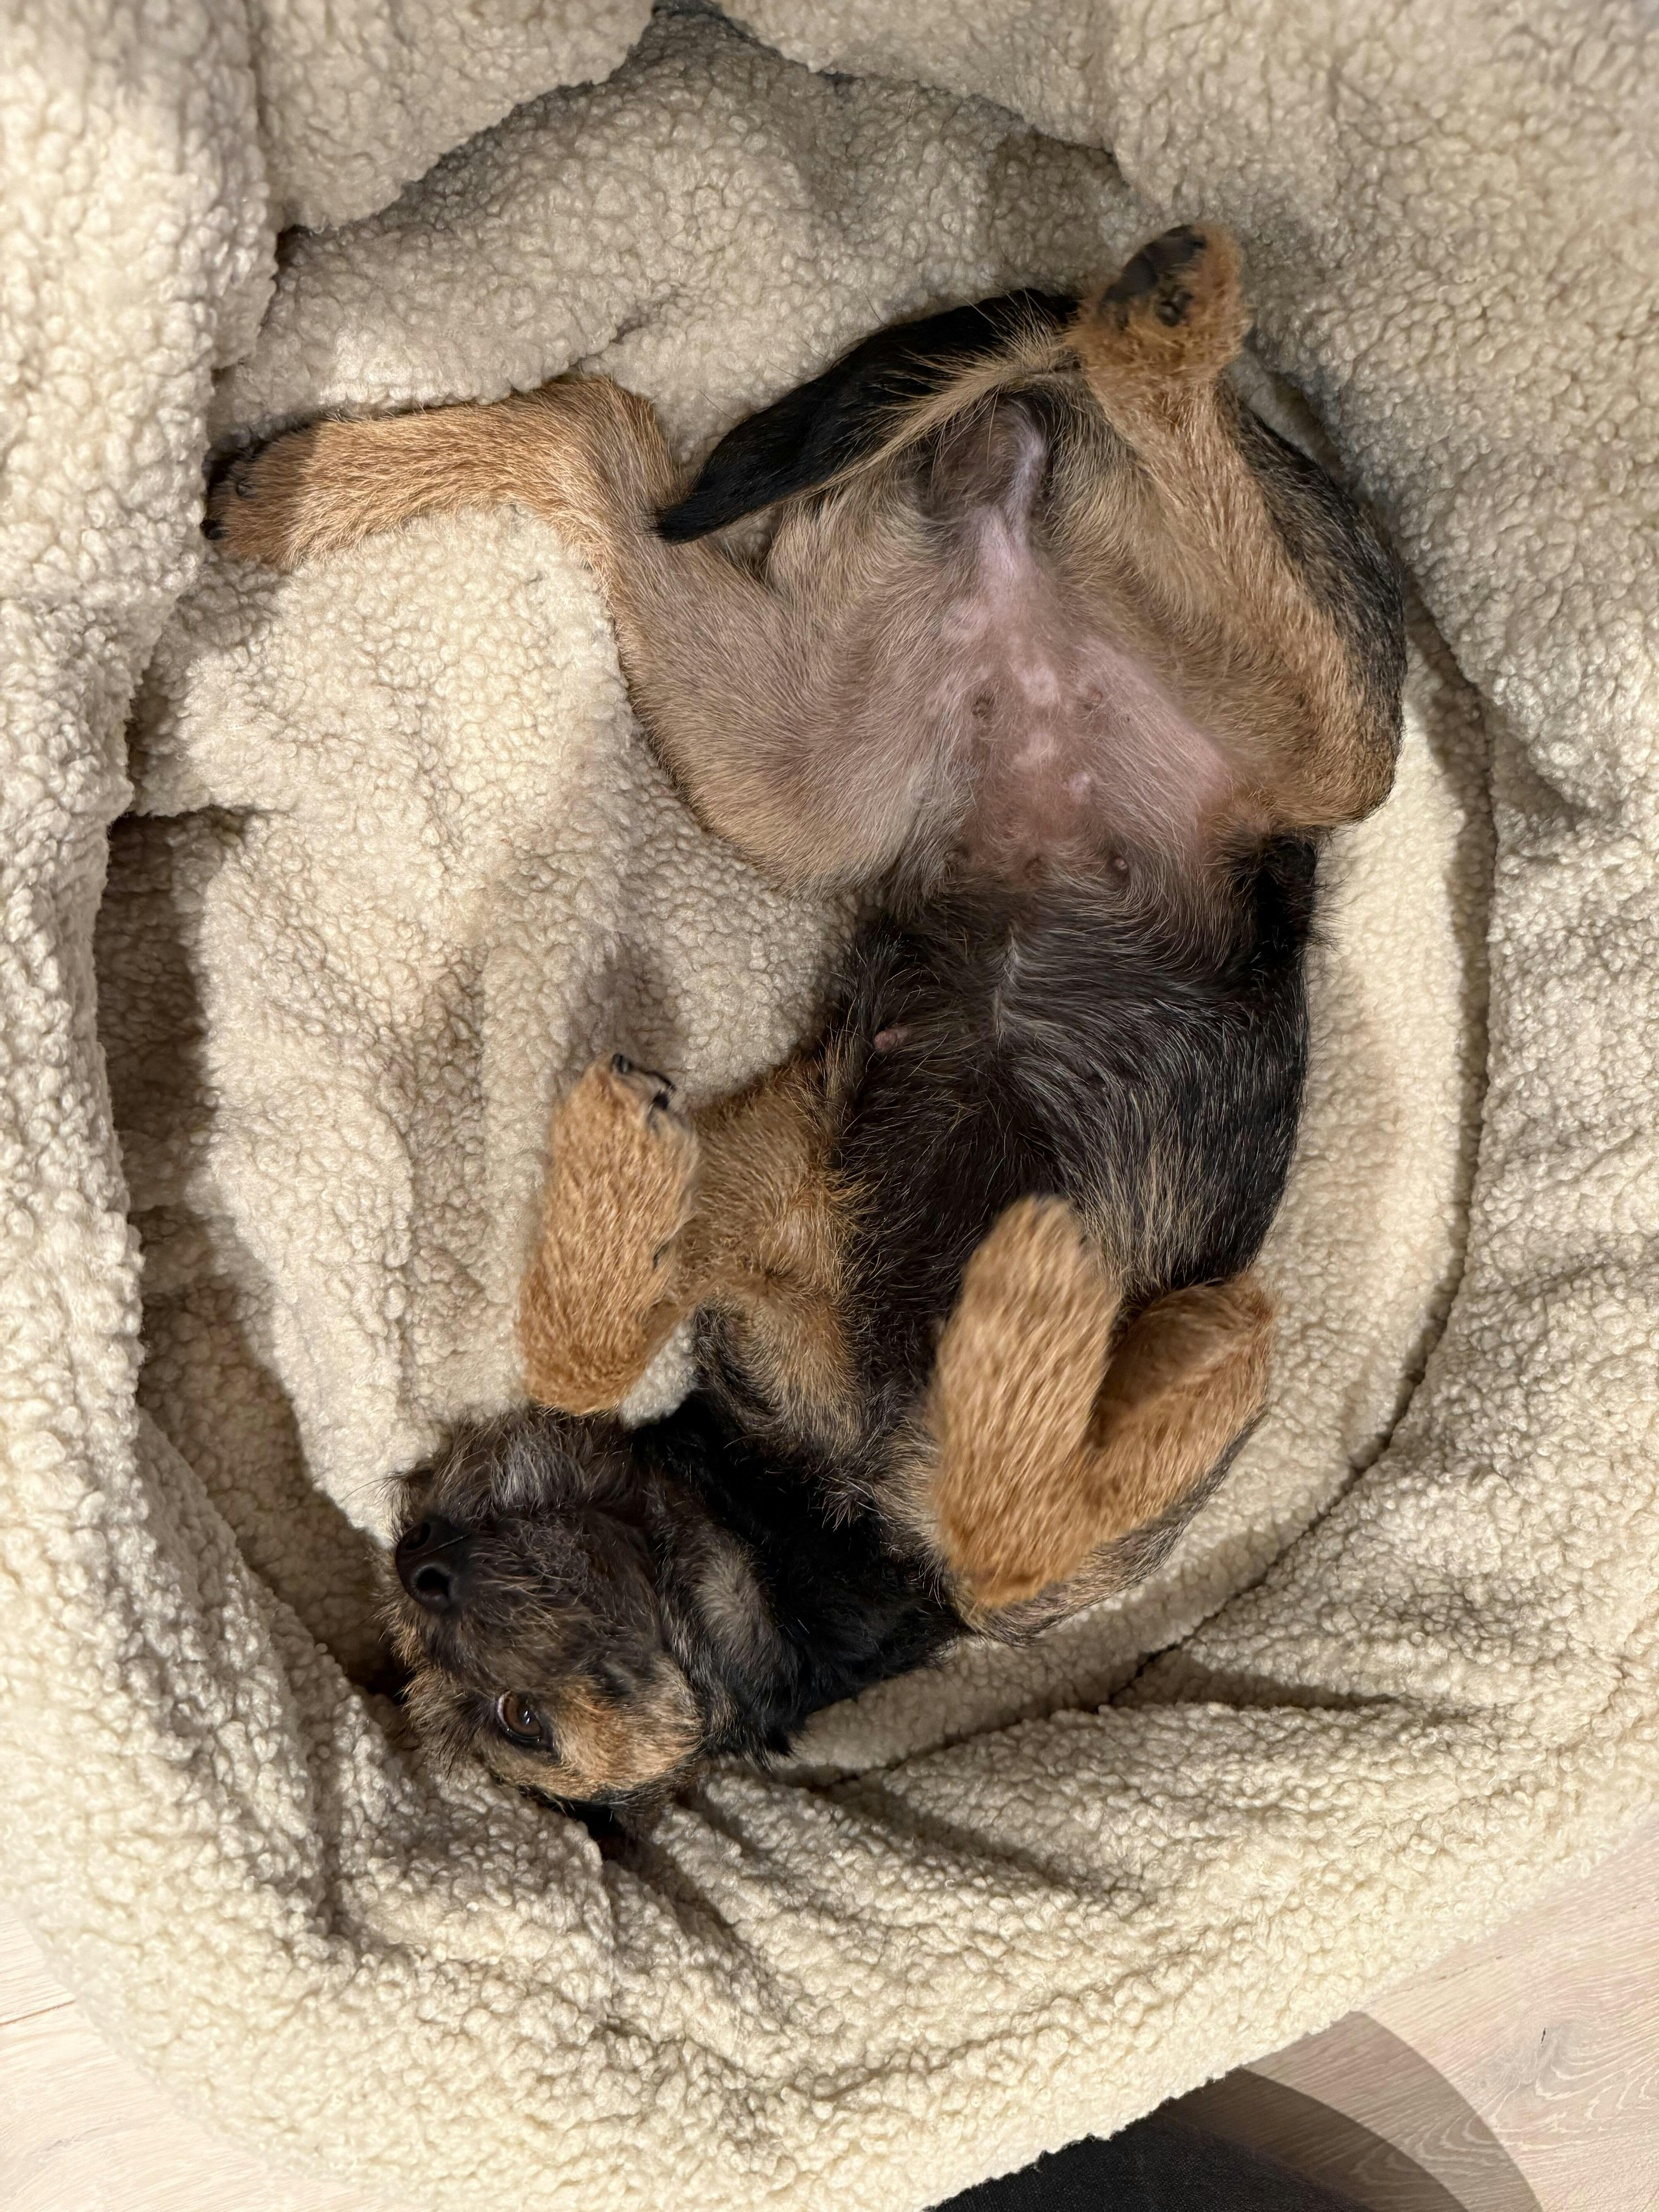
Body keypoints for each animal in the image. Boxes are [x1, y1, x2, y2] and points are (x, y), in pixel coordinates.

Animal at [208, 224, 1404, 1814]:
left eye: (518, 1724)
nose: (429, 1565)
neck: (797, 1514)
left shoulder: (1045, 1578)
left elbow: (1006, 1528)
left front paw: (1042, 1292)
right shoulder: (760, 1181)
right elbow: (590, 1354)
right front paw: (620, 1201)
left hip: (1314, 746)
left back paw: (1163, 316)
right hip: (793, 775)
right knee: (601, 438)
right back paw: (300, 485)